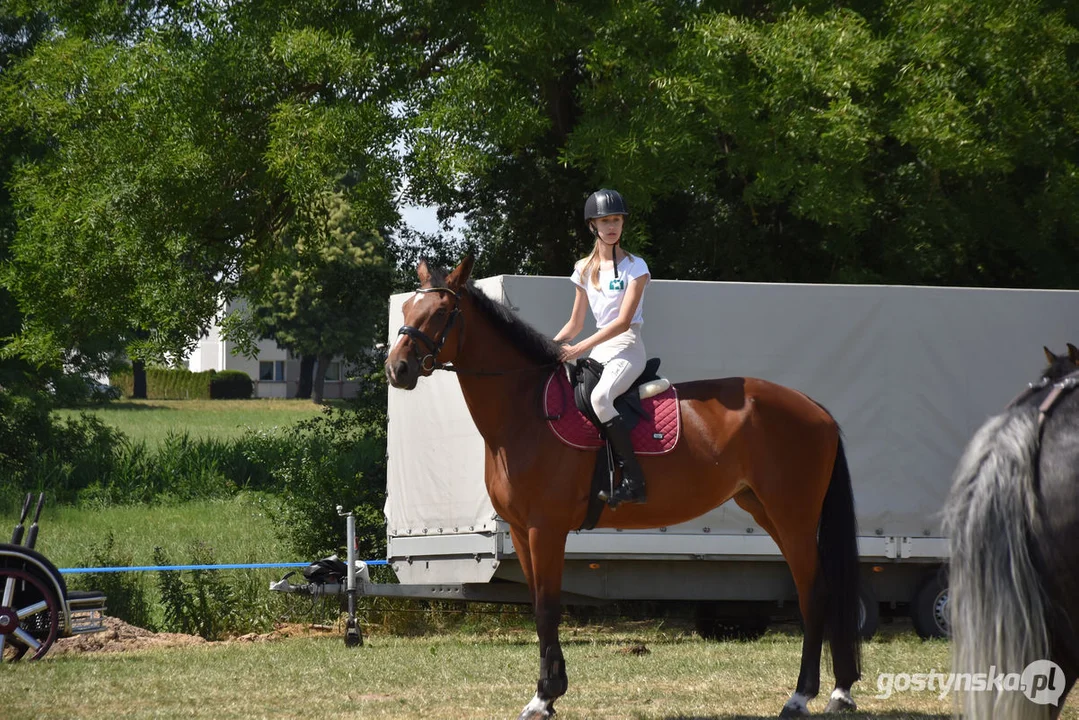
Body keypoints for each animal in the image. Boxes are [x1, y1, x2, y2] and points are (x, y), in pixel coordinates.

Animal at [384, 255, 863, 716]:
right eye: (407, 310)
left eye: (441, 312)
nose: (397, 369)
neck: (526, 412)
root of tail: (814, 408)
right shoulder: (520, 531)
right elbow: (540, 605)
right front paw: (550, 693)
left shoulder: (545, 529)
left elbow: (547, 606)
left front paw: (544, 697)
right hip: (765, 510)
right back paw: (837, 692)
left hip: (793, 516)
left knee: (813, 594)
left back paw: (802, 696)